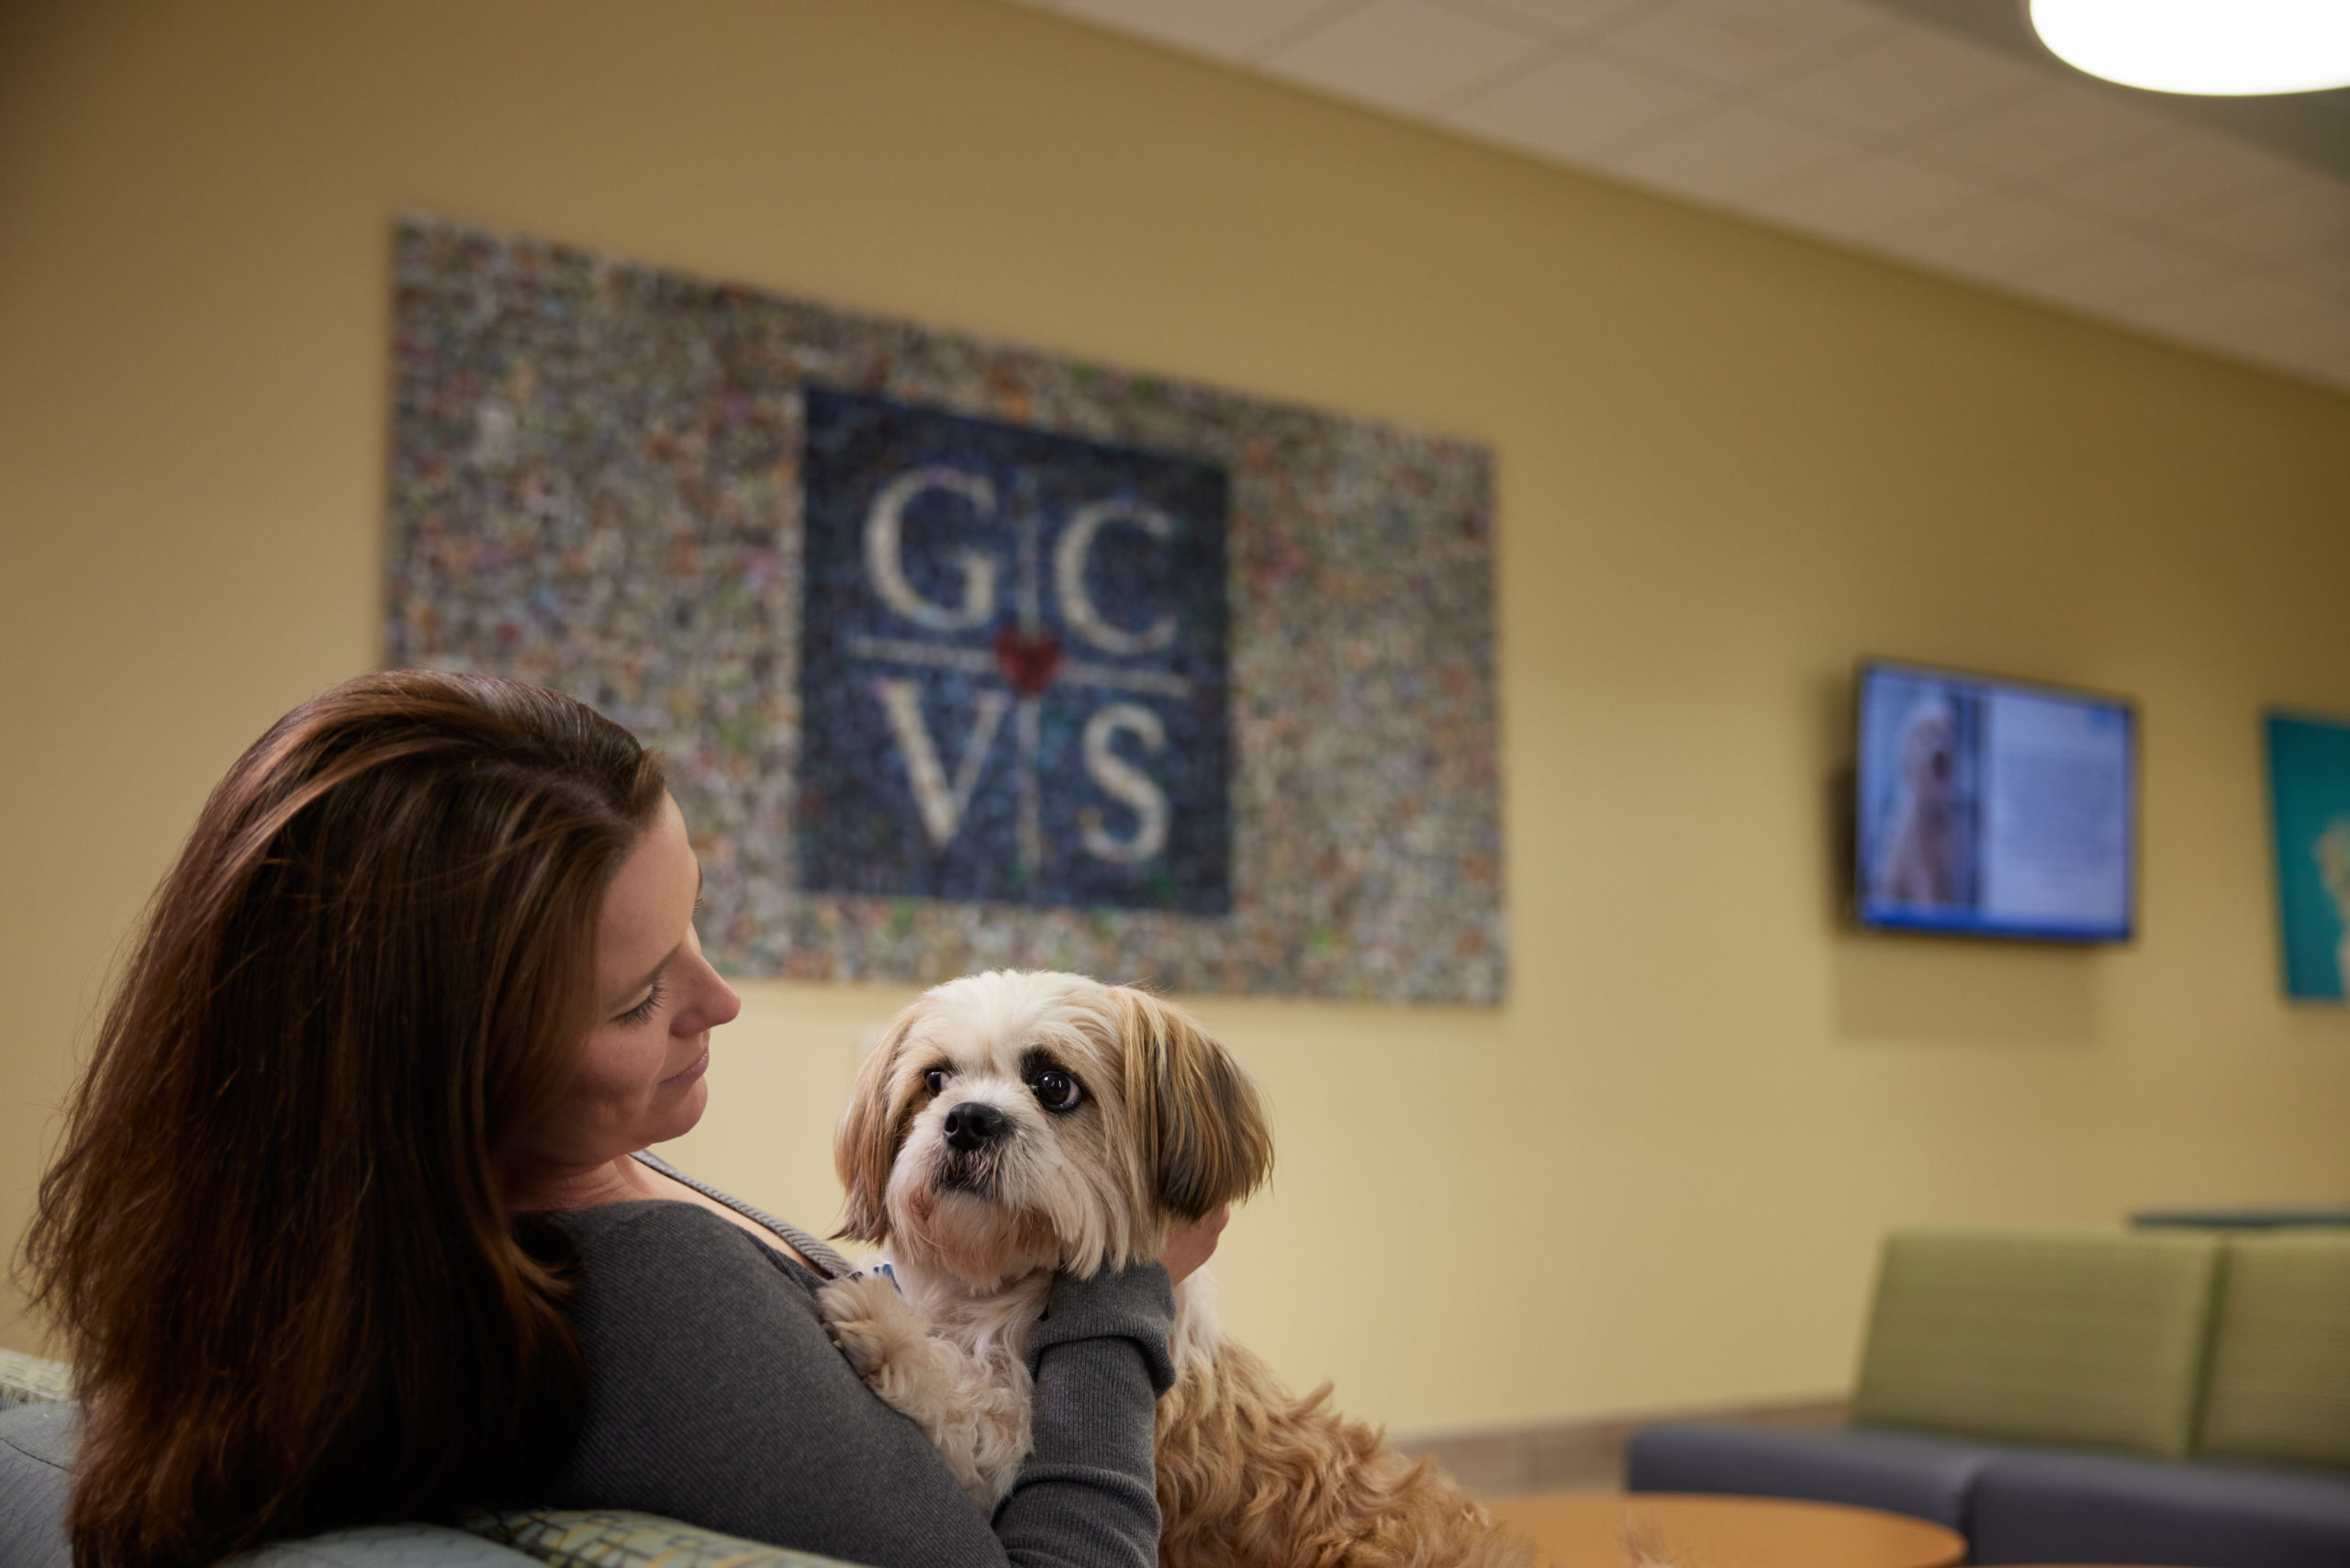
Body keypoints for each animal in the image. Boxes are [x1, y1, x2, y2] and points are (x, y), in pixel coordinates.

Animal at [817, 969, 1532, 1568]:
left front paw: (892, 1333)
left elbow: (976, 1404)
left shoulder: (1016, 1451)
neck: (991, 1285)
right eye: (935, 1081)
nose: (968, 1119)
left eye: (1053, 1085)